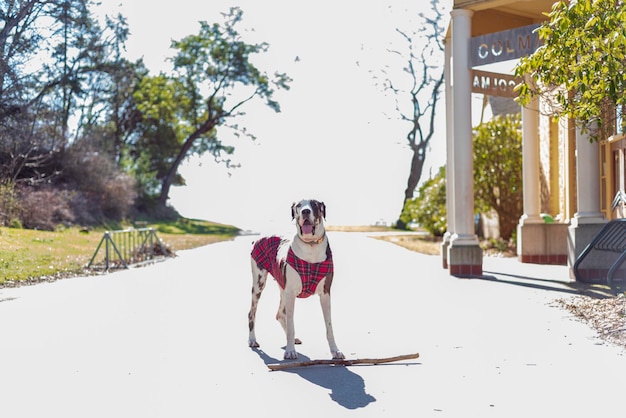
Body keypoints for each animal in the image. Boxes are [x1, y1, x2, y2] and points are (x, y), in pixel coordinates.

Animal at [247, 199, 344, 360]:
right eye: (299, 205)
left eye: (315, 204)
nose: (305, 211)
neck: (311, 245)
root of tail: (259, 238)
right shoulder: (291, 293)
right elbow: (291, 324)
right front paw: (290, 351)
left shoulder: (325, 293)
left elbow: (329, 326)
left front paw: (335, 351)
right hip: (259, 283)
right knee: (252, 313)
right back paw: (252, 340)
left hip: (282, 286)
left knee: (280, 314)